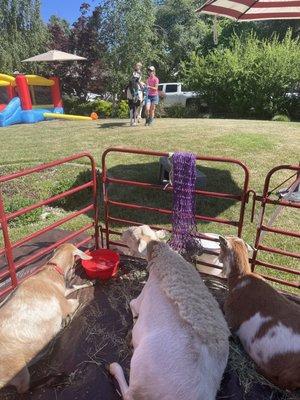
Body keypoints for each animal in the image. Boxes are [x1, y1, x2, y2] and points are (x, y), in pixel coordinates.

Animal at [0, 244, 91, 394]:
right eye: (74, 262)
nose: (73, 275)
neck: (49, 276)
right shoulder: (65, 304)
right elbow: (76, 302)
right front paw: (66, 320)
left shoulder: (64, 291)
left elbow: (73, 287)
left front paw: (88, 283)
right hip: (16, 367)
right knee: (24, 389)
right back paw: (58, 377)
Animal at [110, 241, 230, 400]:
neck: (167, 258)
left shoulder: (140, 299)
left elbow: (132, 304)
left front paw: (134, 323)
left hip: (140, 371)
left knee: (128, 394)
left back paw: (114, 366)